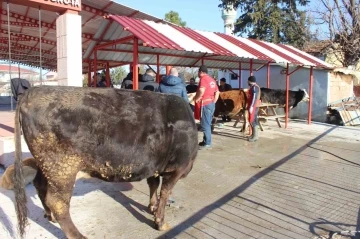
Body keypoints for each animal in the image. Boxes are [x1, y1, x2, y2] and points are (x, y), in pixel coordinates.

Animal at [14, 86, 198, 239]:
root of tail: (33, 91)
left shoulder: (155, 166)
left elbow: (153, 185)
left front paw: (151, 208)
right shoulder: (177, 169)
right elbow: (165, 192)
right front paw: (160, 222)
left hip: (46, 165)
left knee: (40, 185)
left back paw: (49, 215)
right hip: (61, 167)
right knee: (58, 202)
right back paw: (77, 235)